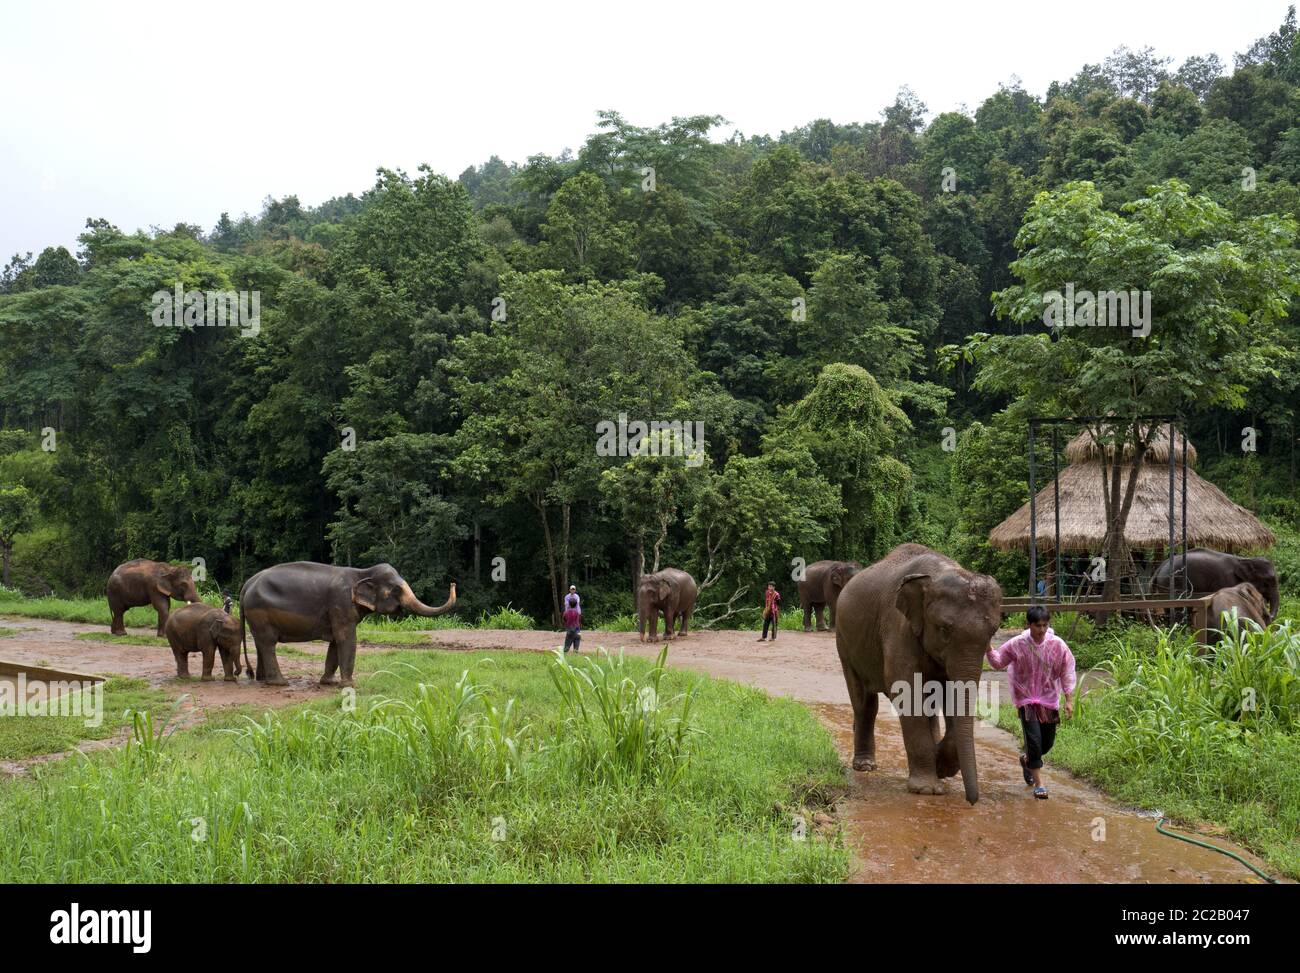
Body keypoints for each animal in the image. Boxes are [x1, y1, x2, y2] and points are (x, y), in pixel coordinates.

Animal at [239, 559, 457, 686]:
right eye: (396, 589)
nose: (453, 582)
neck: (362, 572)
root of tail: (246, 584)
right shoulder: (340, 603)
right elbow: (346, 638)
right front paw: (349, 685)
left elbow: (336, 642)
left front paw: (328, 682)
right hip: (259, 612)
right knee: (268, 643)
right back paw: (280, 683)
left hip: (256, 616)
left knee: (260, 643)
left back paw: (263, 680)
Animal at [832, 538, 1003, 806]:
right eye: (944, 629)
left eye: (993, 632)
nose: (972, 801)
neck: (938, 573)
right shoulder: (898, 626)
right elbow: (907, 692)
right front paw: (927, 789)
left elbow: (950, 695)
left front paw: (942, 767)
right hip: (844, 643)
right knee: (864, 703)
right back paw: (865, 766)